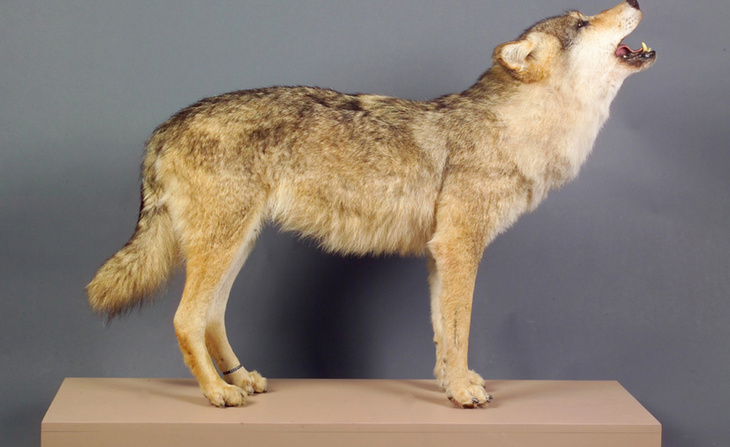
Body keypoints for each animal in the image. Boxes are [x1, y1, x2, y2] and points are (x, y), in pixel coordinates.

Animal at [87, 1, 655, 408]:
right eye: (581, 22)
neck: (518, 129)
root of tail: (164, 127)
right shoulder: (460, 250)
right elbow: (460, 330)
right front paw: (462, 394)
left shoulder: (439, 255)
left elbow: (443, 336)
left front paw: (452, 383)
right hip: (222, 246)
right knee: (186, 319)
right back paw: (217, 393)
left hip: (237, 245)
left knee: (211, 318)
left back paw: (241, 379)